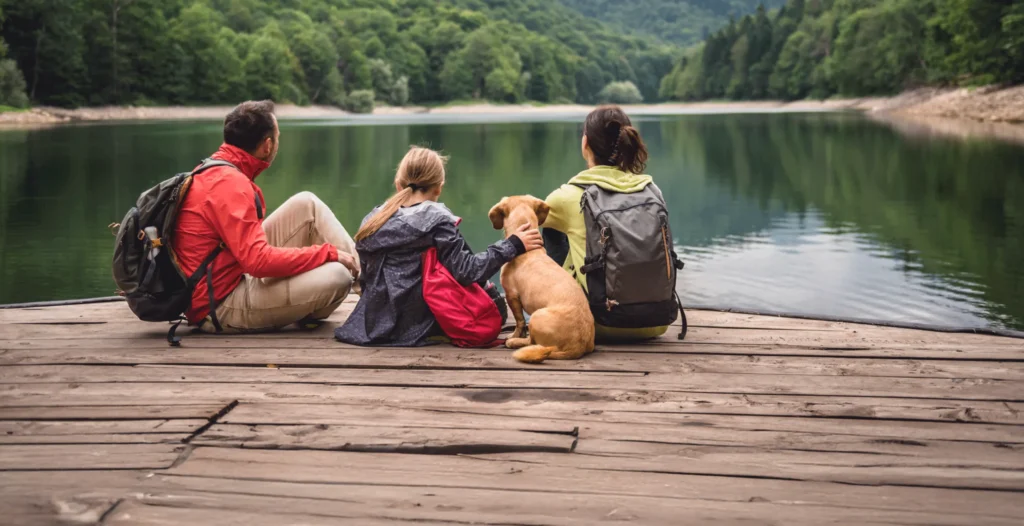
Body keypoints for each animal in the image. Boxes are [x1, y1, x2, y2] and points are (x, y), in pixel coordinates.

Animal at [485, 194, 593, 362]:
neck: (528, 250)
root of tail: (577, 346)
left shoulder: (511, 295)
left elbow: (519, 321)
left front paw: (514, 335)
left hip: (536, 316)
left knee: (531, 341)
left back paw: (513, 342)